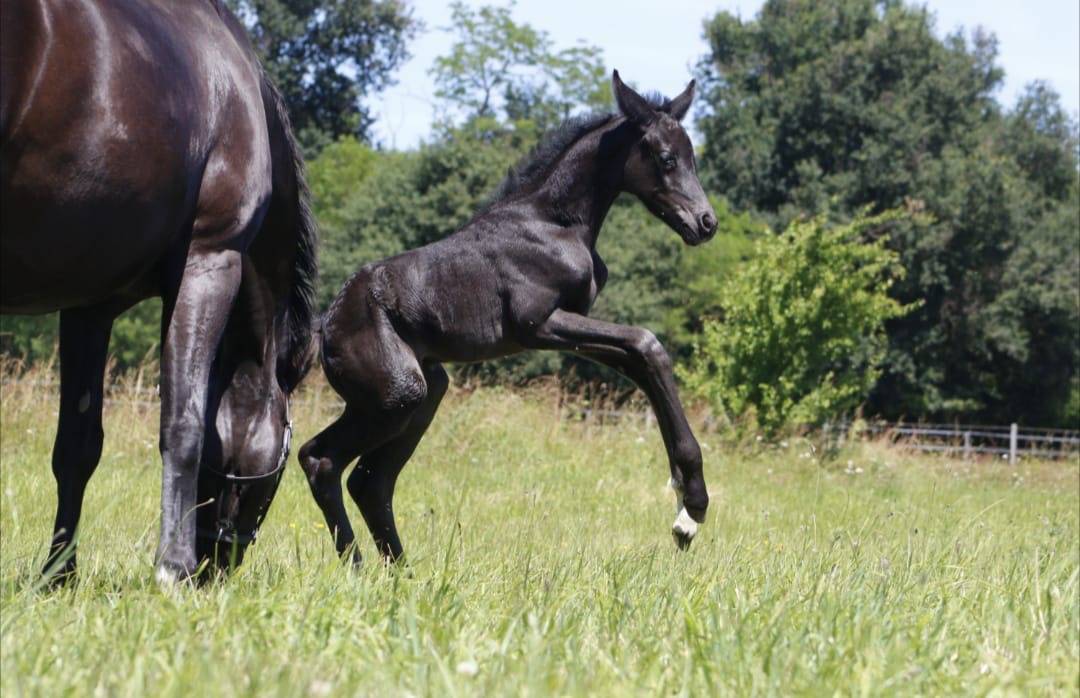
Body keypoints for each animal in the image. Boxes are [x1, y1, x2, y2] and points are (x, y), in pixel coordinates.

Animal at [1, 0, 317, 584]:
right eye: (281, 463)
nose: (218, 564)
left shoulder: (88, 308)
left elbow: (77, 445)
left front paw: (58, 575)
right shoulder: (210, 262)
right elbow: (184, 425)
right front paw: (173, 567)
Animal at [299, 71, 716, 566]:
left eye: (693, 157)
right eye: (667, 158)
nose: (706, 222)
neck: (555, 223)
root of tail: (326, 324)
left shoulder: (573, 325)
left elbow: (641, 360)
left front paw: (684, 504)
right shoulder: (539, 325)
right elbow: (647, 344)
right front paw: (692, 504)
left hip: (424, 393)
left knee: (370, 481)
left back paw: (402, 575)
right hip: (395, 396)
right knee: (322, 460)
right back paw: (359, 568)